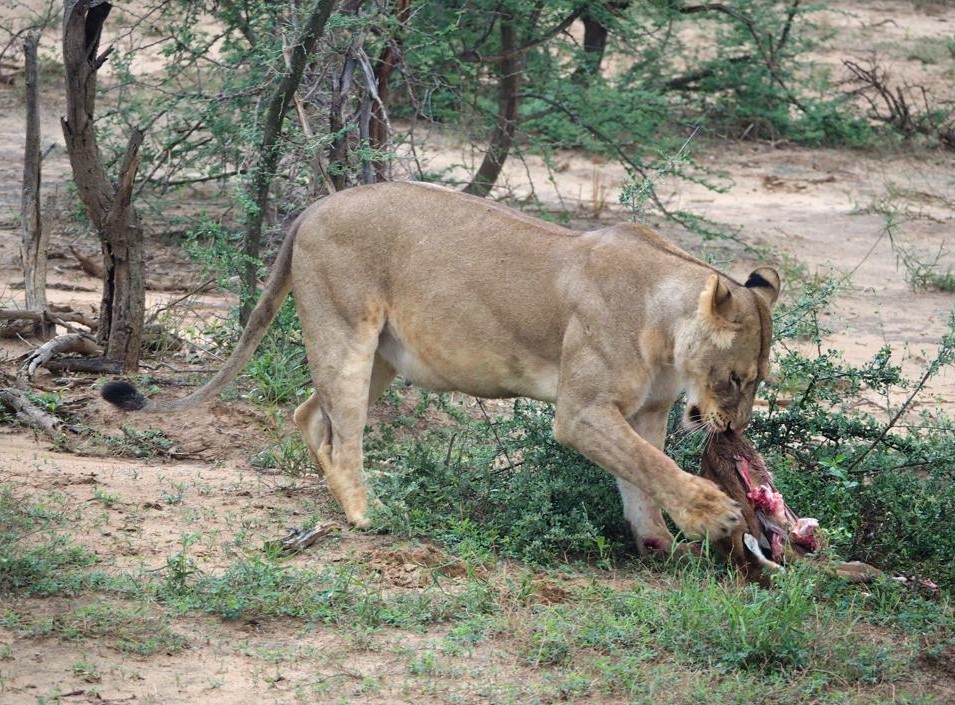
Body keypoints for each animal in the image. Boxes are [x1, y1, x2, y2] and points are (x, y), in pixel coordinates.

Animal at [102, 181, 780, 556]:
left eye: (756, 383)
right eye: (736, 380)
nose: (734, 431)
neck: (665, 323)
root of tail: (314, 207)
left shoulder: (645, 412)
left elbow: (641, 475)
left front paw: (657, 543)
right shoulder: (582, 412)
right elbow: (652, 467)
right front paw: (716, 516)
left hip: (380, 354)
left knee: (310, 415)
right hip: (346, 332)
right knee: (342, 433)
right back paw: (368, 514)